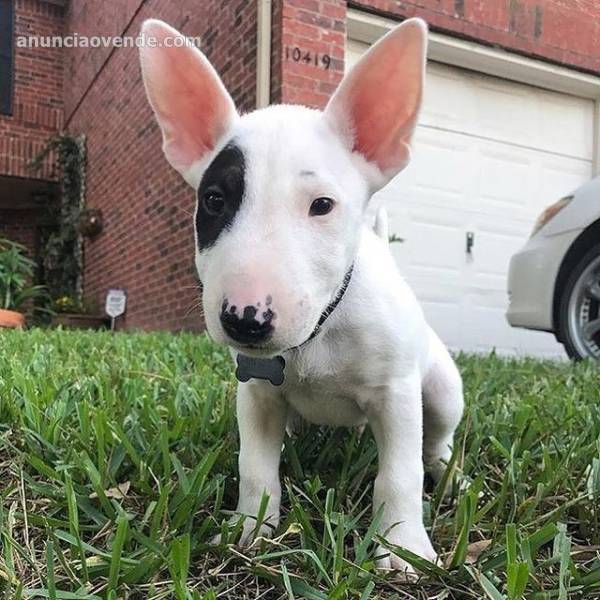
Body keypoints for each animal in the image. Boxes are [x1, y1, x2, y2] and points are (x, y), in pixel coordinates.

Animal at [139, 17, 464, 572]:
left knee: (436, 439)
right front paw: (249, 530)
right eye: (215, 200)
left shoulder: (397, 394)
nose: (245, 319)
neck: (320, 331)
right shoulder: (255, 392)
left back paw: (448, 473)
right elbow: (255, 465)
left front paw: (401, 548)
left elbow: (399, 473)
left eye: (322, 205)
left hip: (442, 390)